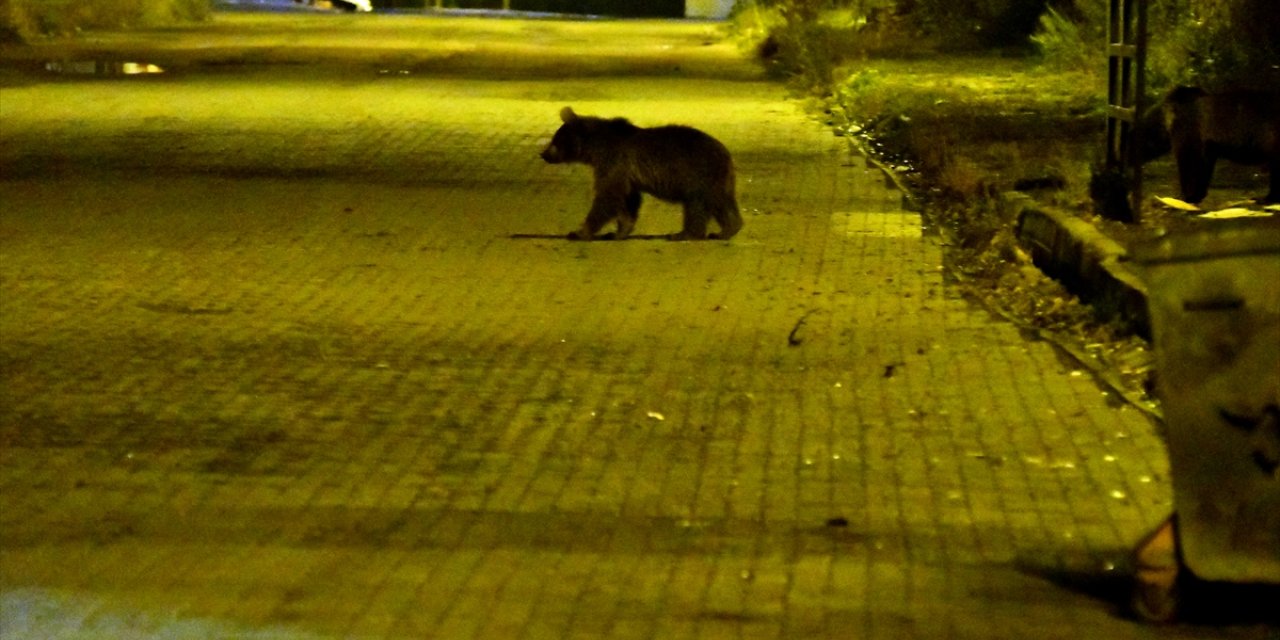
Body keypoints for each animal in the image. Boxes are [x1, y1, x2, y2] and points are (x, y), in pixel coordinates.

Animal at [537, 106, 742, 240]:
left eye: (555, 140)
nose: (543, 154)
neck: (594, 149)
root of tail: (726, 154)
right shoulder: (626, 173)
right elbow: (627, 198)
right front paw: (618, 231)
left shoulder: (614, 161)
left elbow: (607, 195)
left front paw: (580, 232)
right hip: (718, 179)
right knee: (722, 203)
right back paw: (727, 229)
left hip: (696, 173)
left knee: (697, 204)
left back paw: (684, 233)